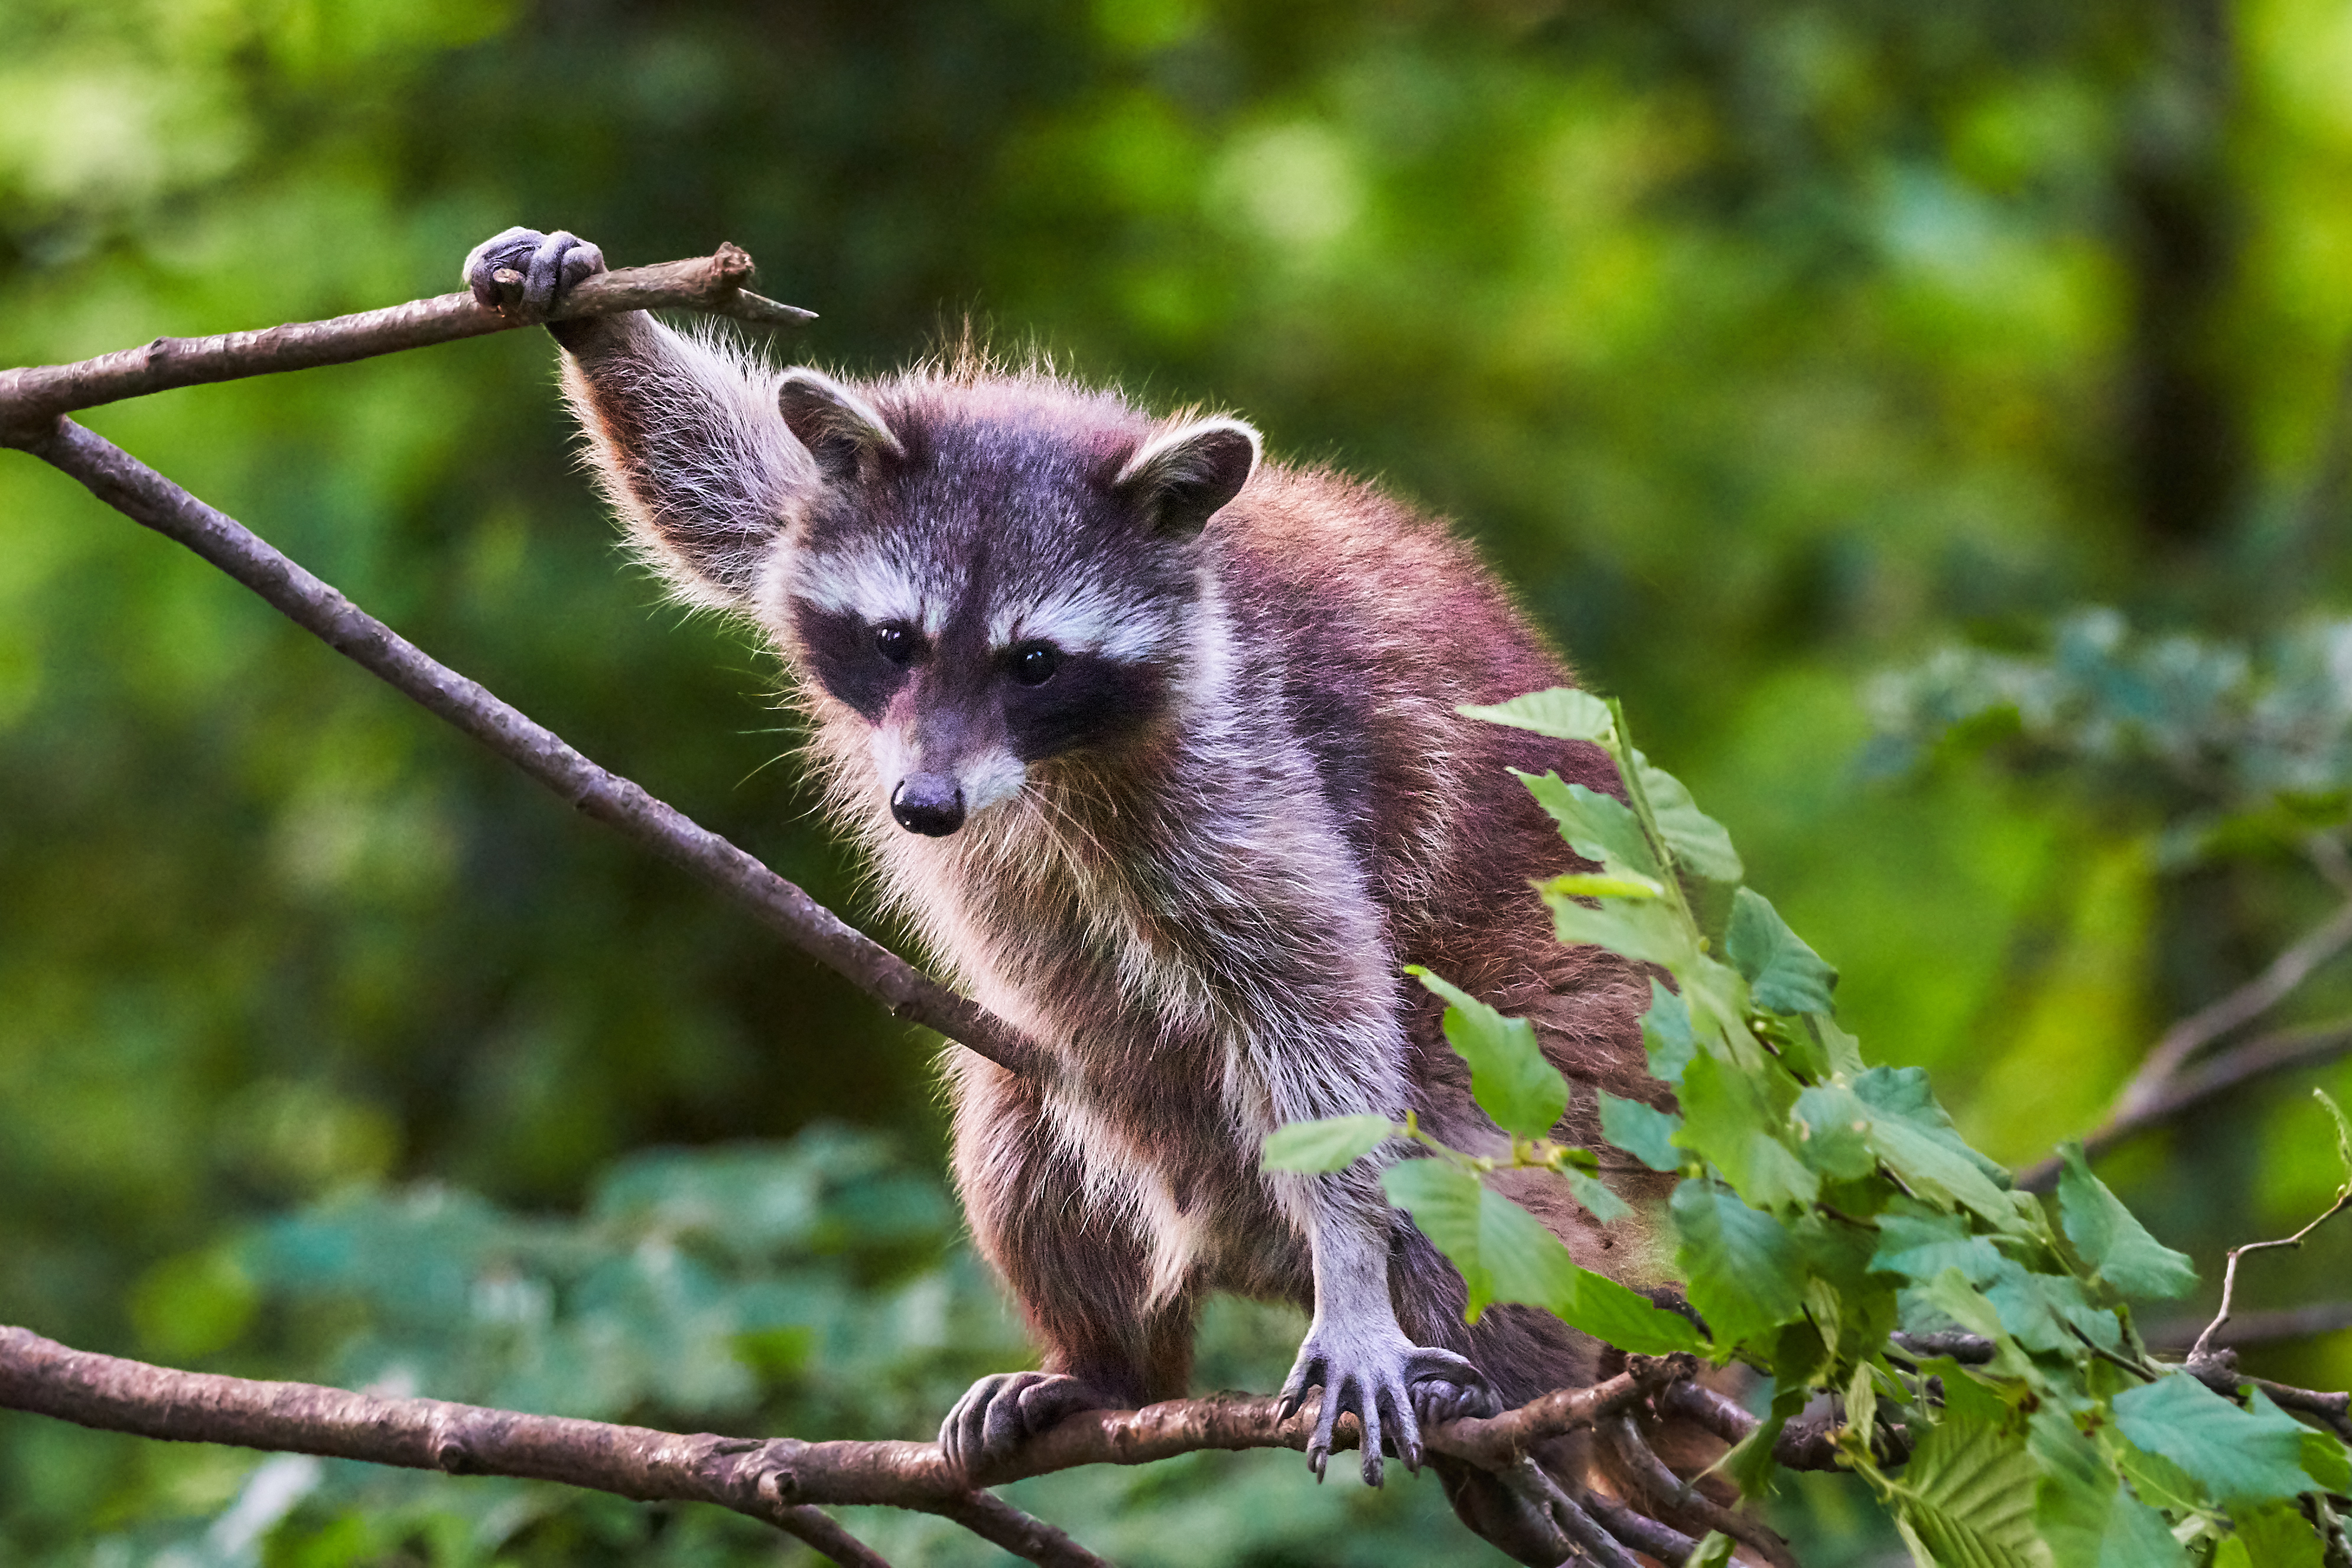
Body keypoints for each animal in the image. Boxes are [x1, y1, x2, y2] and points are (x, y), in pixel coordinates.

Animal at [473, 223, 1693, 1561]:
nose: (926, 807)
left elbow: (1317, 992)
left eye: (1035, 662)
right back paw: (1109, 1366)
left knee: (1462, 1171)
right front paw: (596, 321)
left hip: (1577, 1140)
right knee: (1015, 1118)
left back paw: (1523, 1414)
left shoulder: (1237, 755)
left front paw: (1355, 1277)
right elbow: (726, 481)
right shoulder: (815, 528)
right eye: (895, 641)